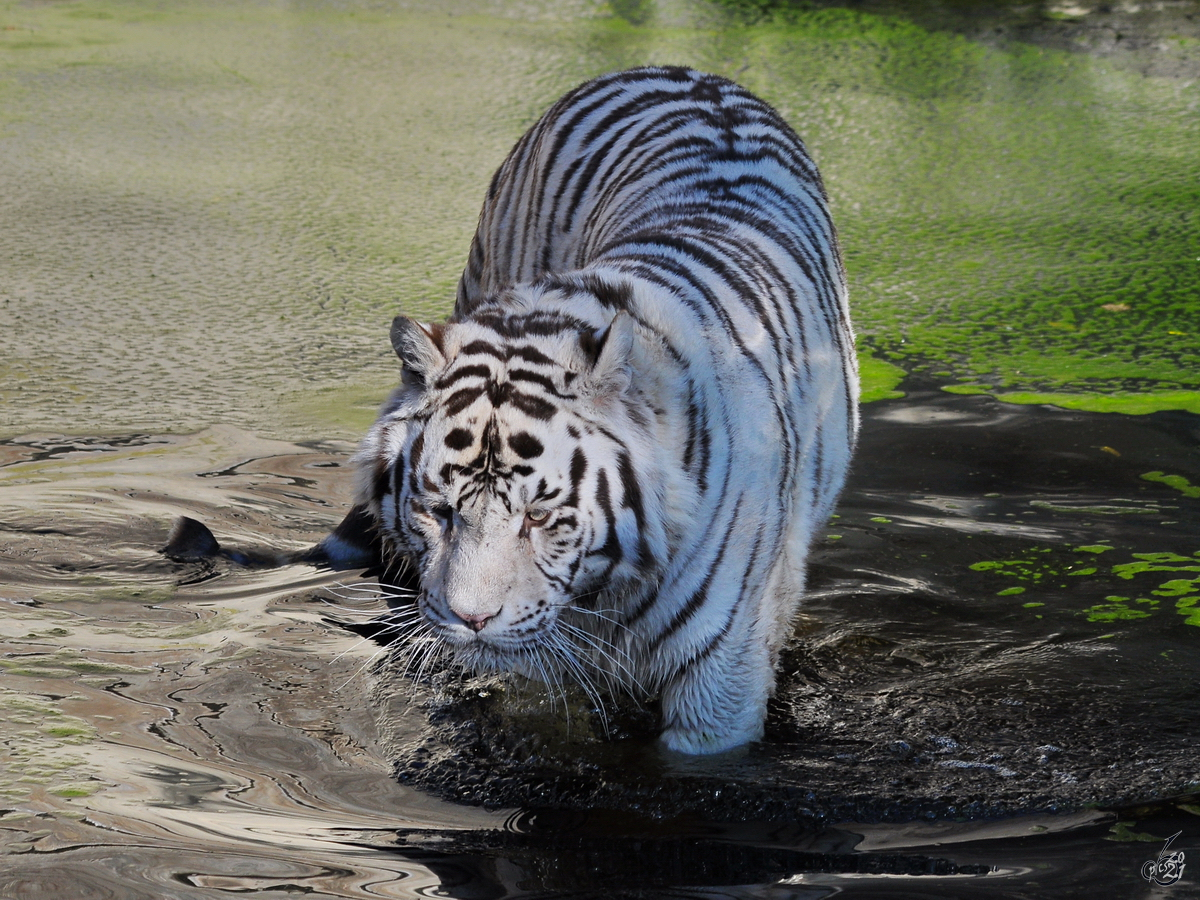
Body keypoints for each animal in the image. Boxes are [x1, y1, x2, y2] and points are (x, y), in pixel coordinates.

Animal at [343, 66, 859, 753]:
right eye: (438, 510)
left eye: (538, 515)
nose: (470, 619)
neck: (606, 592)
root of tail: (681, 71)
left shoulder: (723, 672)